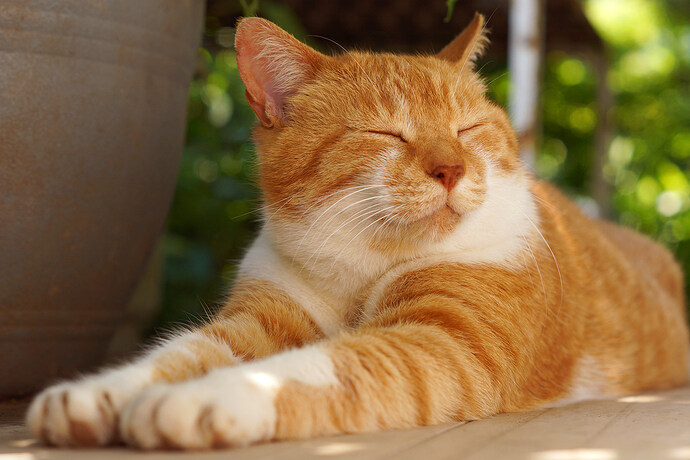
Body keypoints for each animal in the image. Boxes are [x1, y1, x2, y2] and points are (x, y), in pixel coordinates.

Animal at [25, 14, 684, 450]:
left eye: (468, 129)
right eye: (385, 134)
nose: (452, 168)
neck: (365, 265)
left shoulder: (444, 339)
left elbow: (320, 364)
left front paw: (199, 398)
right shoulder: (262, 319)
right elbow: (181, 350)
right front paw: (98, 393)